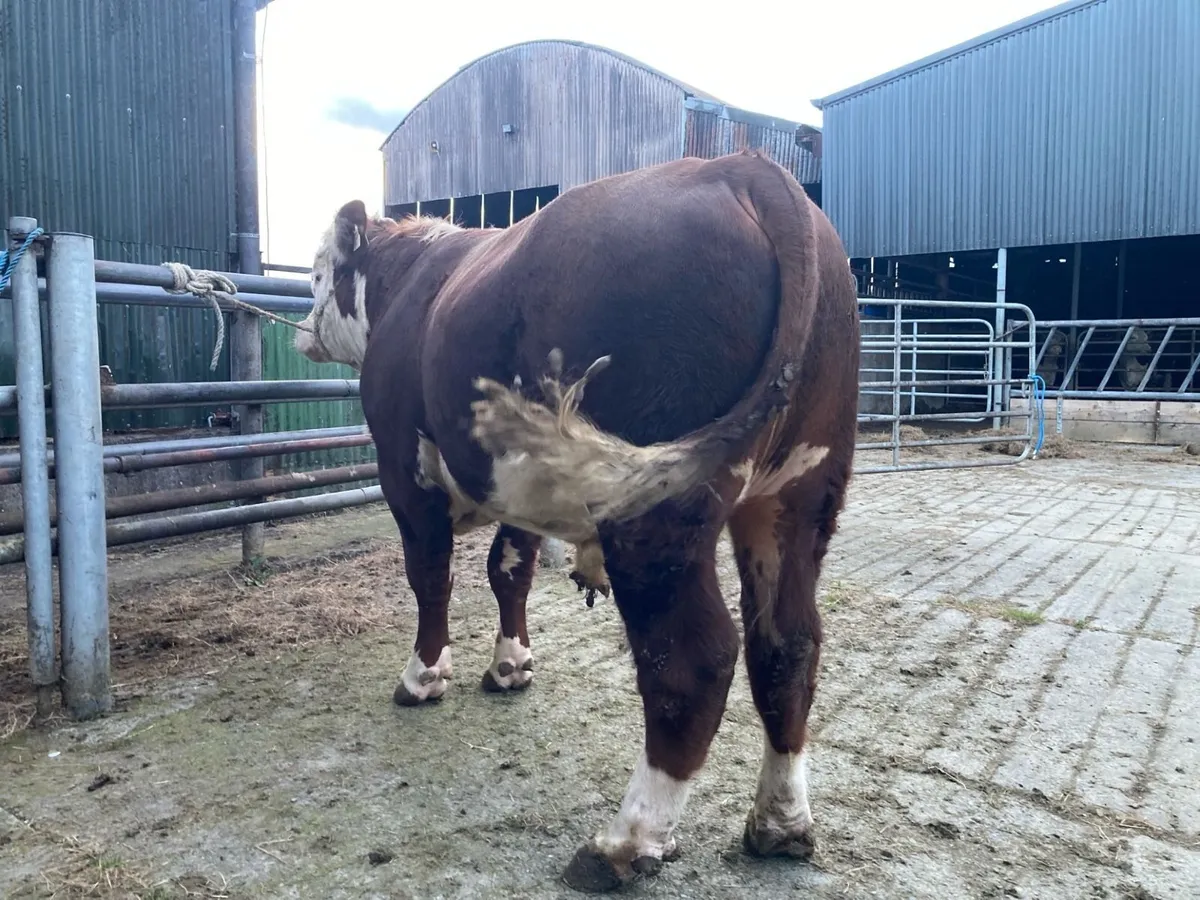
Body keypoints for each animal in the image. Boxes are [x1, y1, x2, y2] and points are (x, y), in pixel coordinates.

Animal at [293, 151, 860, 892]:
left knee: (693, 658)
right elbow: (508, 570)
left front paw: (424, 677)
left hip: (659, 510)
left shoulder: (403, 468)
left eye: (316, 273)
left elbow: (431, 577)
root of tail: (747, 168)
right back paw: (781, 824)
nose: (301, 327)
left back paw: (626, 841)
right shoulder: (521, 485)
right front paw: (510, 666)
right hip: (798, 493)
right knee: (787, 643)